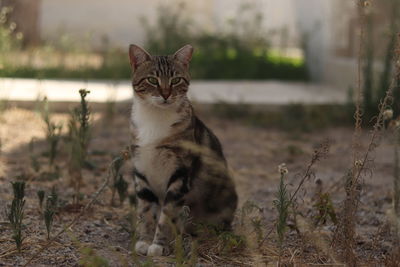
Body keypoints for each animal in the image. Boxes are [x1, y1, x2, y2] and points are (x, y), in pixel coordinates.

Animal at [128, 44, 238, 258]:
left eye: (176, 80)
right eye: (152, 80)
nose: (165, 94)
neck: (155, 119)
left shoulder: (180, 174)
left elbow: (167, 214)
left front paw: (159, 245)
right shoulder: (141, 170)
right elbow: (145, 212)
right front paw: (144, 241)